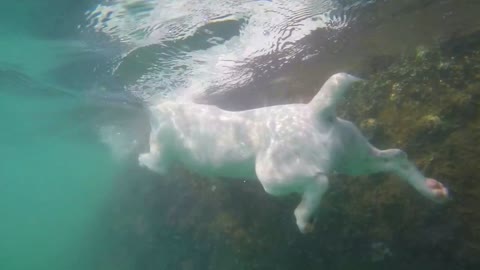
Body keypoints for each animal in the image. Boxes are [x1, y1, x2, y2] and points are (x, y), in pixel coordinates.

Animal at [140, 73, 450, 233]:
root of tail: (316, 112)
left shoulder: (161, 145)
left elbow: (154, 161)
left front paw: (140, 160)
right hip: (355, 157)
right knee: (396, 157)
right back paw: (432, 190)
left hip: (272, 177)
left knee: (320, 181)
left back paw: (304, 217)